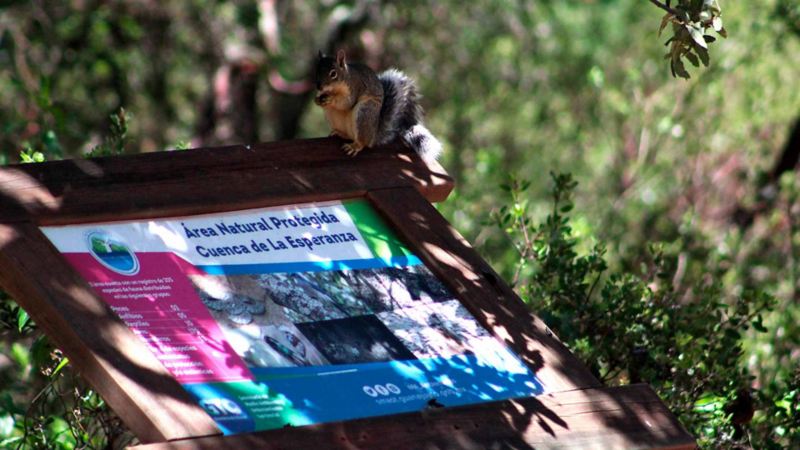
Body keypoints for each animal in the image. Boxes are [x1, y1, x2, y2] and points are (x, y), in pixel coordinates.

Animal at [312, 50, 444, 162]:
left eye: (333, 73)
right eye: (317, 70)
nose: (319, 86)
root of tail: (373, 136)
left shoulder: (354, 87)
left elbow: (347, 102)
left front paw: (331, 98)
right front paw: (317, 99)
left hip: (365, 112)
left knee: (363, 142)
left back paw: (355, 146)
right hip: (332, 114)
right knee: (348, 134)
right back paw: (339, 132)